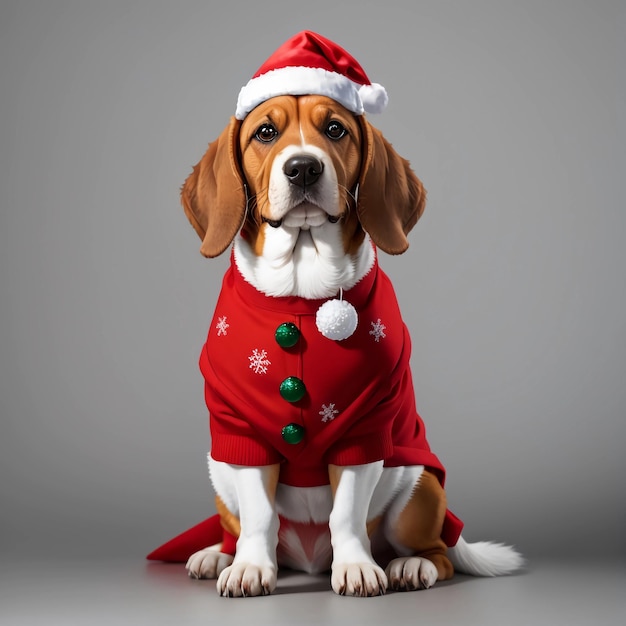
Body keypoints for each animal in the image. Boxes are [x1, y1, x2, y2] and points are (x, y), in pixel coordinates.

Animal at [149, 30, 524, 596]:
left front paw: (356, 567)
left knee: (436, 551)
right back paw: (220, 554)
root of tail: (306, 559)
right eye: (264, 132)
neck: (301, 294)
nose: (303, 167)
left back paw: (408, 565)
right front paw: (250, 567)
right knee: (238, 524)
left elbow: (346, 512)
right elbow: (260, 514)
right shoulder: (241, 435)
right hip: (220, 472)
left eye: (335, 129)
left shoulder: (364, 431)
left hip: (417, 486)